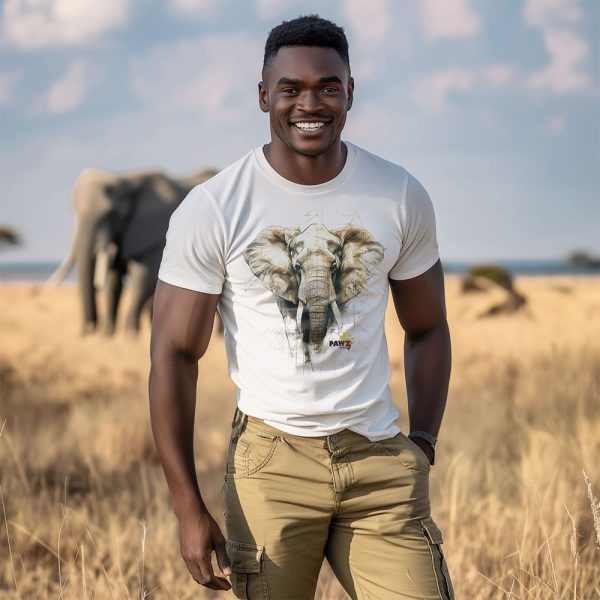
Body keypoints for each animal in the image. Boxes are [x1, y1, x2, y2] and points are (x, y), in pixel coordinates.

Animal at [47, 168, 219, 338]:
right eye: (74, 211)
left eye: (110, 213)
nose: (89, 330)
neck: (125, 180)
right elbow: (114, 282)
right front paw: (109, 336)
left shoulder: (154, 235)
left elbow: (143, 279)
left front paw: (130, 336)